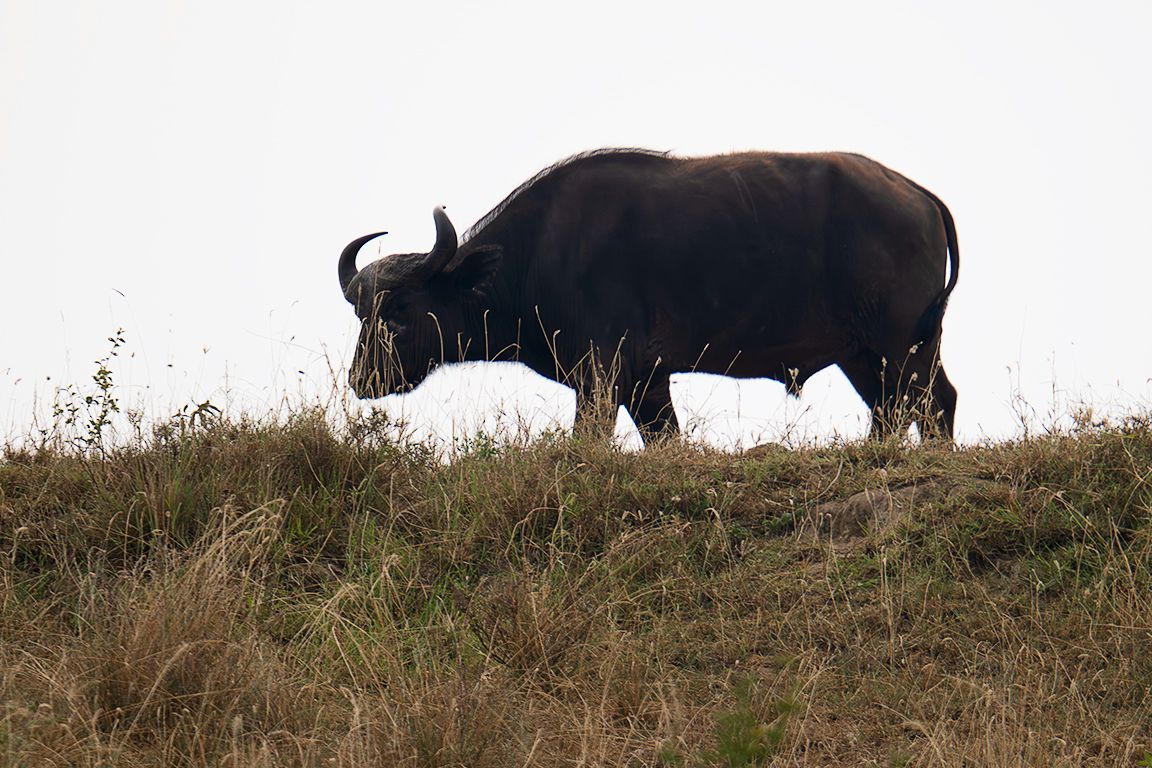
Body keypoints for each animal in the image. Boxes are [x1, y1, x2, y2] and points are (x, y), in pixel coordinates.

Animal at [339, 149, 958, 440]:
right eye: (361, 313)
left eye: (399, 310)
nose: (359, 379)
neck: (540, 252)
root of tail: (919, 194)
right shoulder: (647, 383)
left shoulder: (603, 374)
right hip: (866, 354)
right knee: (901, 408)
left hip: (901, 346)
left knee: (929, 403)